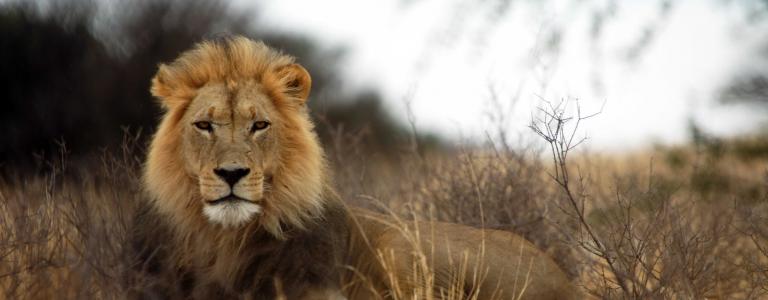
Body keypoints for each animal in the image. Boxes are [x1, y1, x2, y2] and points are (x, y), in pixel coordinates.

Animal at [134, 36, 576, 298]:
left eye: (259, 125)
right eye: (204, 126)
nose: (231, 174)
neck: (231, 239)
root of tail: (564, 280)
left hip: (400, 245)